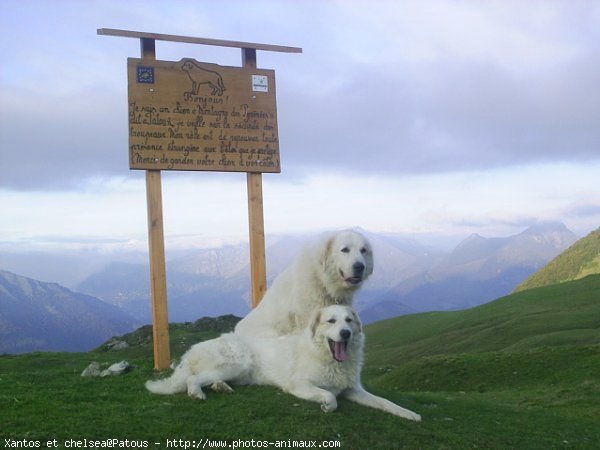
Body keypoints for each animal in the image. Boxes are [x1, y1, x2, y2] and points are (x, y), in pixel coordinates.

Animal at [145, 304, 420, 424]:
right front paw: (327, 406)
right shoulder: (298, 385)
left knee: (209, 379)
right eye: (331, 321)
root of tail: (192, 350)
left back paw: (221, 387)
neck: (329, 359)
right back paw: (197, 393)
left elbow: (385, 402)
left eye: (349, 320)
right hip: (236, 363)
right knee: (194, 378)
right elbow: (331, 397)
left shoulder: (353, 390)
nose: (345, 333)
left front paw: (409, 414)